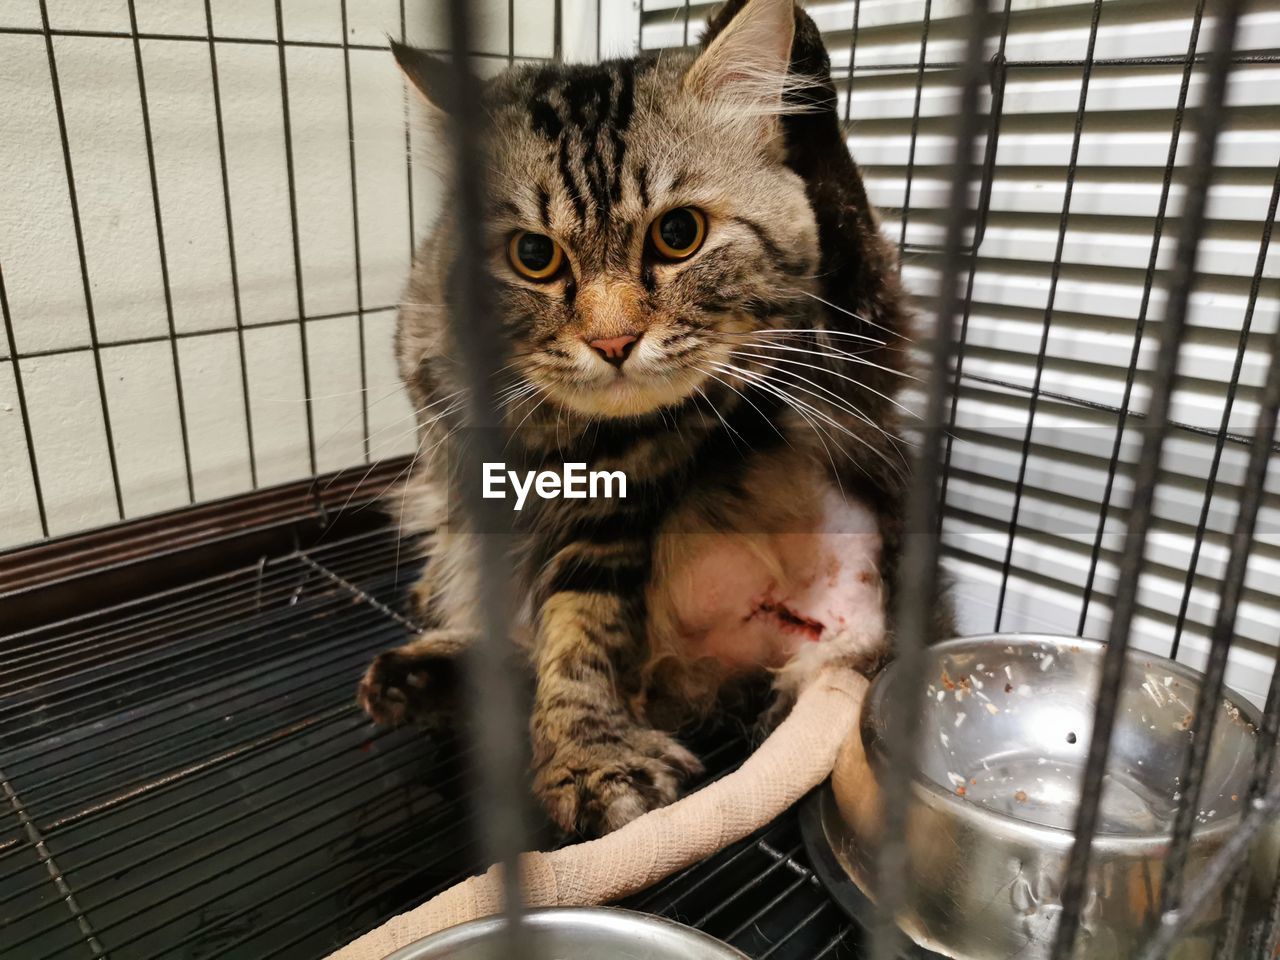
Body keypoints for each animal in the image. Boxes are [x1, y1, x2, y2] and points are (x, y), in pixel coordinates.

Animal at [358, 0, 952, 839]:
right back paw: (415, 676)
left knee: (849, 242)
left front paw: (590, 758)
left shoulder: (614, 518)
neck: (569, 438)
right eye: (533, 254)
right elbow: (552, 636)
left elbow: (579, 641)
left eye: (679, 236)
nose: (612, 343)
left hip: (851, 378)